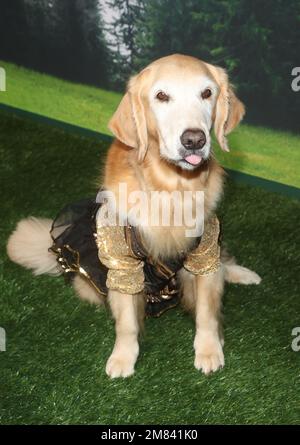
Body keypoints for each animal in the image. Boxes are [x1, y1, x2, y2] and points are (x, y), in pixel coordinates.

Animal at [7, 53, 260, 376]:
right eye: (161, 96)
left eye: (207, 93)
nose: (194, 140)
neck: (172, 189)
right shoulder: (121, 260)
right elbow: (126, 321)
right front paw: (123, 357)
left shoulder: (204, 250)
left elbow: (206, 309)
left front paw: (208, 349)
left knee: (223, 267)